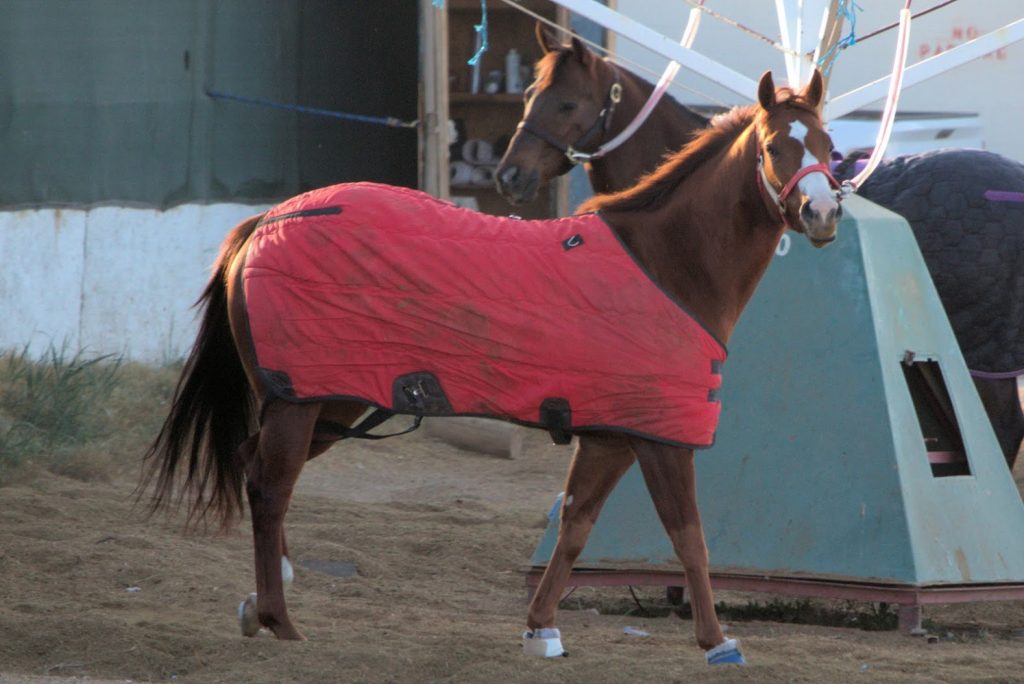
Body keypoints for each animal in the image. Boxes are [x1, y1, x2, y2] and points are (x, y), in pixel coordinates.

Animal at [141, 70, 842, 665]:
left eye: (830, 147)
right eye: (776, 145)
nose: (823, 214)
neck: (665, 264)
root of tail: (270, 220)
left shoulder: (613, 436)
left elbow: (576, 526)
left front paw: (541, 628)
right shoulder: (660, 438)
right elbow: (688, 536)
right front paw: (718, 642)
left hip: (326, 404)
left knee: (254, 467)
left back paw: (266, 596)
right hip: (307, 399)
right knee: (270, 486)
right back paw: (279, 619)